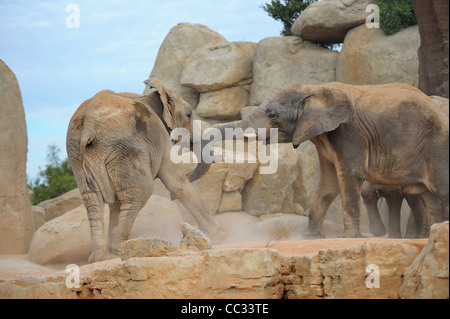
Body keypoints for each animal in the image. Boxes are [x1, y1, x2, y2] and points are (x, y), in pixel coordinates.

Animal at [65, 77, 223, 262]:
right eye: (189, 114)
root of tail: (88, 125)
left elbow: (115, 203)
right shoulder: (161, 137)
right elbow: (176, 183)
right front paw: (219, 234)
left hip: (78, 154)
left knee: (93, 200)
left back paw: (100, 257)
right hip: (125, 148)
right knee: (141, 191)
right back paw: (117, 247)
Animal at [199, 82, 448, 238]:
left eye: (272, 115)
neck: (312, 89)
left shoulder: (349, 132)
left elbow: (350, 175)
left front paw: (350, 238)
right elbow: (329, 182)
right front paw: (308, 236)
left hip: (437, 147)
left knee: (441, 189)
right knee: (428, 197)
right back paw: (434, 232)